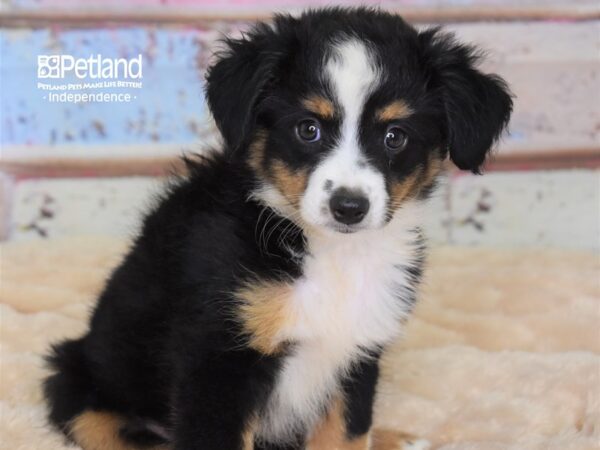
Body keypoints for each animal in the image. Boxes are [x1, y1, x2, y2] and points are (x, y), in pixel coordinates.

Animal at [43, 7, 510, 450]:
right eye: (308, 129)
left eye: (395, 136)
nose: (349, 207)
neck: (329, 255)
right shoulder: (217, 359)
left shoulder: (356, 352)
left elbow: (349, 434)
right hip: (75, 379)